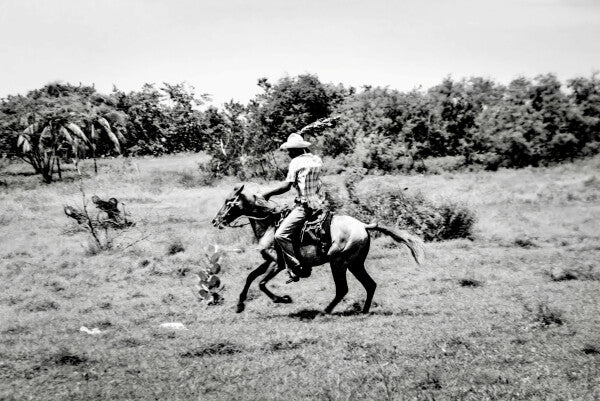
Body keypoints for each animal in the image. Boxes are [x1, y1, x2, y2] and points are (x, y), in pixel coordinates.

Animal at [213, 184, 424, 312]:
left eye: (228, 202)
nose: (216, 221)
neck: (270, 224)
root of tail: (364, 226)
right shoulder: (269, 261)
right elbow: (250, 277)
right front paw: (240, 304)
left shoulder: (278, 264)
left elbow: (261, 283)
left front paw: (283, 299)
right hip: (355, 264)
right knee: (369, 284)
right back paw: (364, 311)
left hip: (338, 263)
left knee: (343, 289)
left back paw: (326, 311)